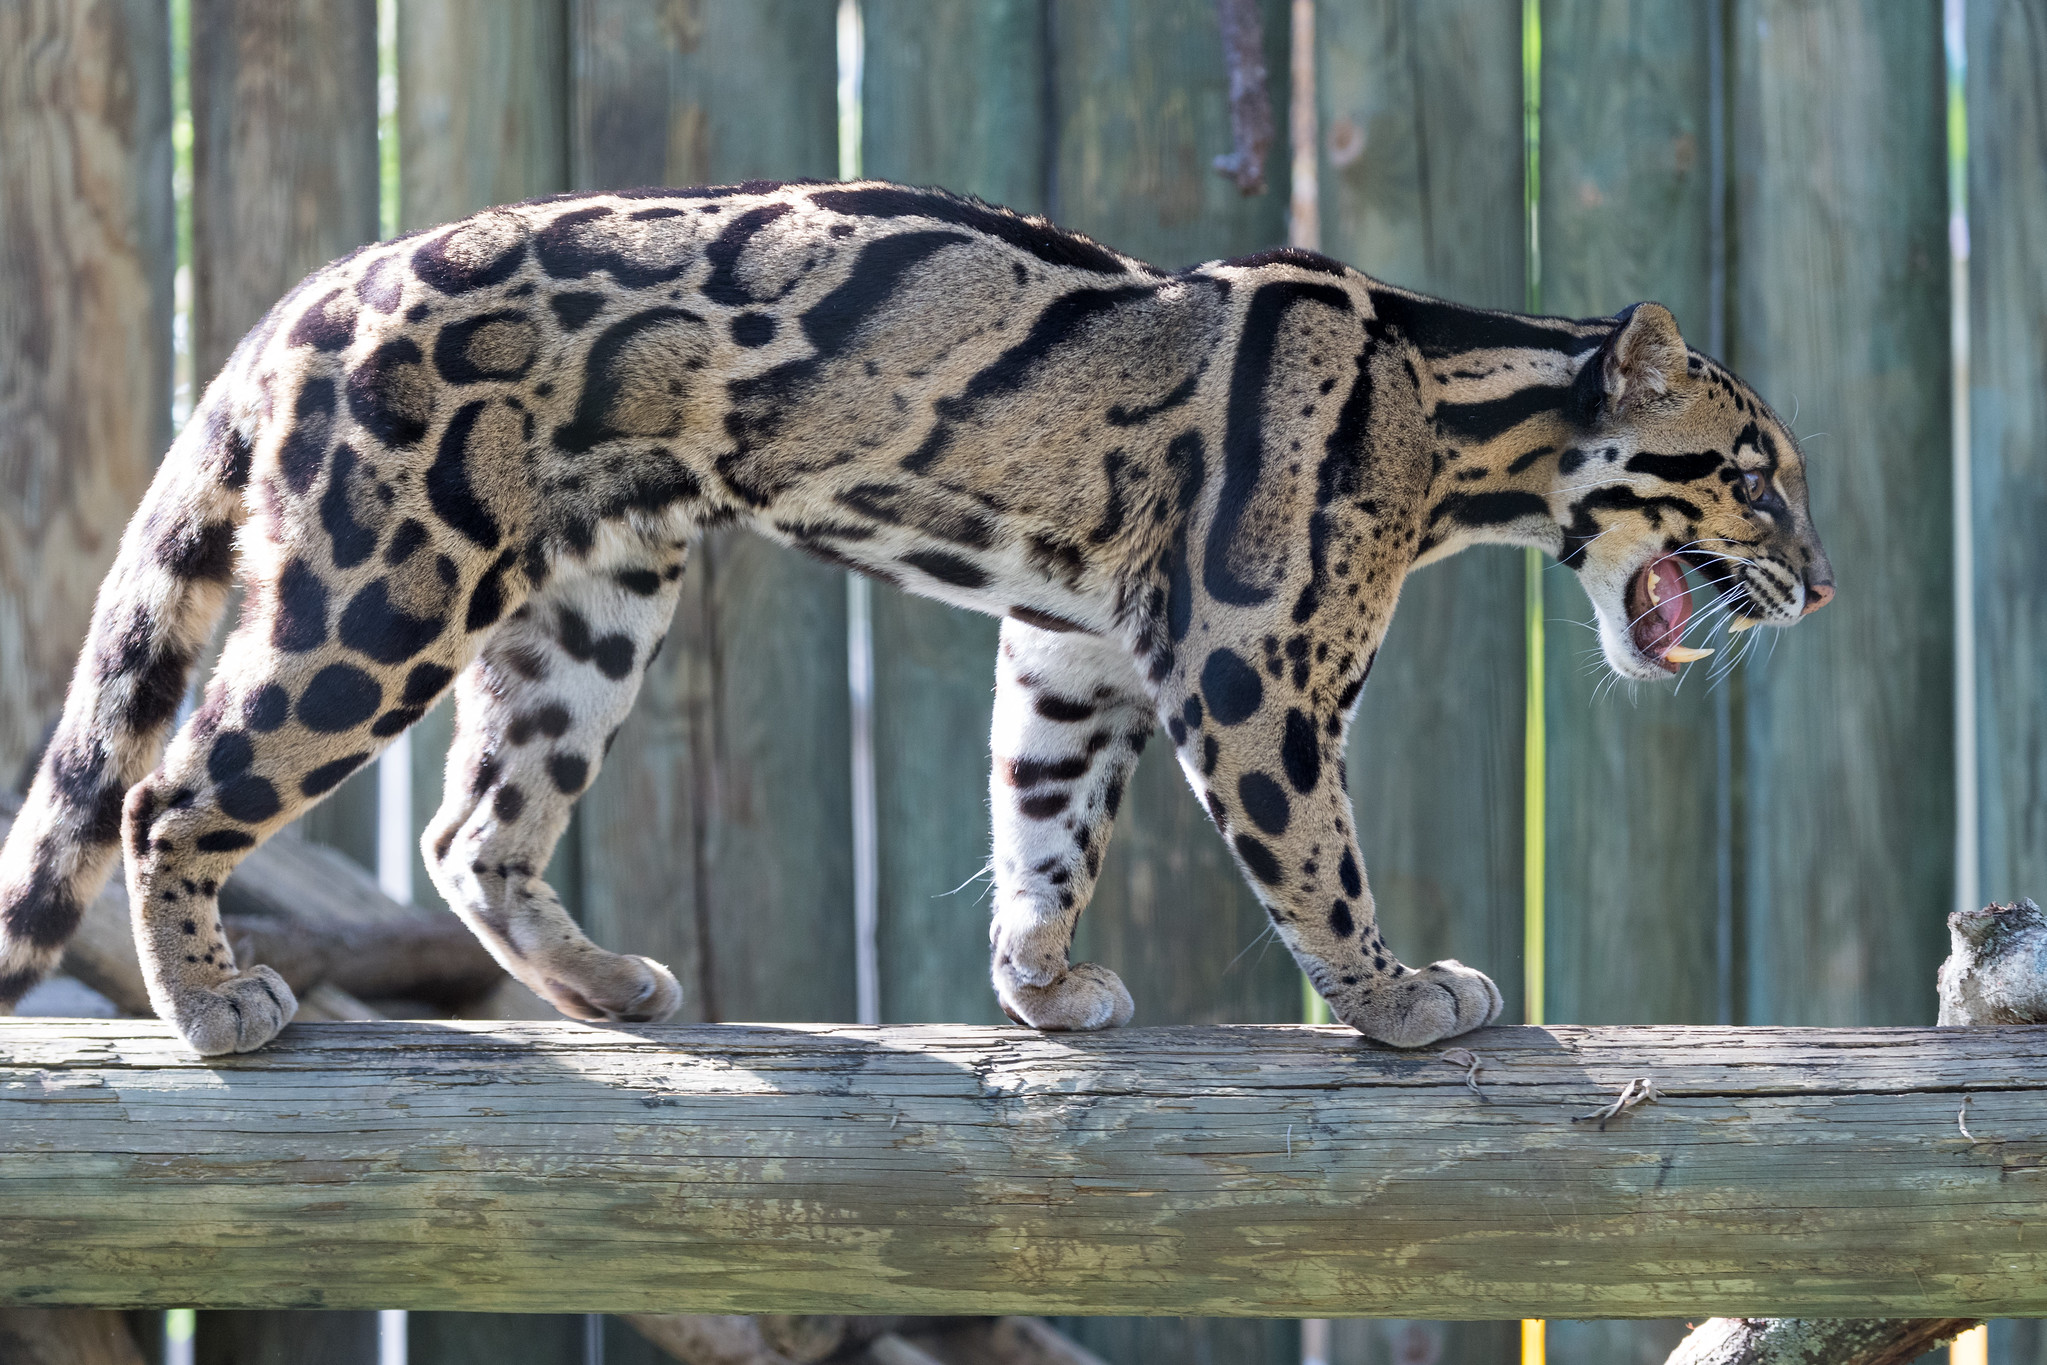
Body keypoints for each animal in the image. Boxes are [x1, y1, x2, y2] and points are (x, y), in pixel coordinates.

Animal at [0, 181, 1834, 1055]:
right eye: (1755, 477)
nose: (1818, 585)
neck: (1452, 415)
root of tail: (316, 288)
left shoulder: (1078, 646)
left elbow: (1043, 815)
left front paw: (1037, 988)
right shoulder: (1247, 658)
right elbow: (1315, 853)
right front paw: (1396, 999)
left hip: (589, 609)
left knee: (470, 829)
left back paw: (603, 987)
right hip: (380, 589)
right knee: (169, 793)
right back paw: (213, 1009)